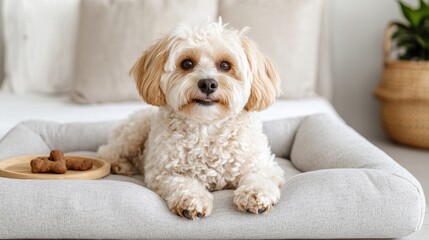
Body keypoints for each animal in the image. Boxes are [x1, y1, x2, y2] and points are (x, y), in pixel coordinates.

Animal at [97, 19, 284, 220]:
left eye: (225, 65)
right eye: (187, 63)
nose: (208, 83)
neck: (206, 127)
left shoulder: (266, 166)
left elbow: (258, 177)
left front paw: (255, 194)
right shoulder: (164, 173)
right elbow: (183, 183)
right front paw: (192, 200)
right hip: (134, 132)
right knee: (106, 151)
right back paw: (120, 165)